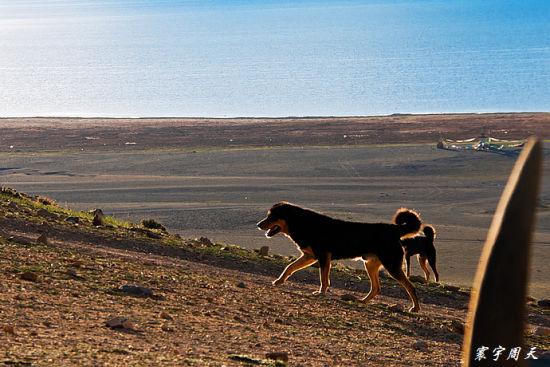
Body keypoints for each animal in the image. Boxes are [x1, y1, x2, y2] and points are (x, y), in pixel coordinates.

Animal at [258, 203, 422, 312]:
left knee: (411, 287)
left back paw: (415, 308)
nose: (258, 224)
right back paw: (363, 301)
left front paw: (321, 293)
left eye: (271, 216)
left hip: (391, 266)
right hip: (370, 265)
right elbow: (289, 267)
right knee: (376, 287)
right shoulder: (310, 256)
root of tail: (394, 229)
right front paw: (279, 281)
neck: (301, 223)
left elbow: (324, 279)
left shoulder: (323, 257)